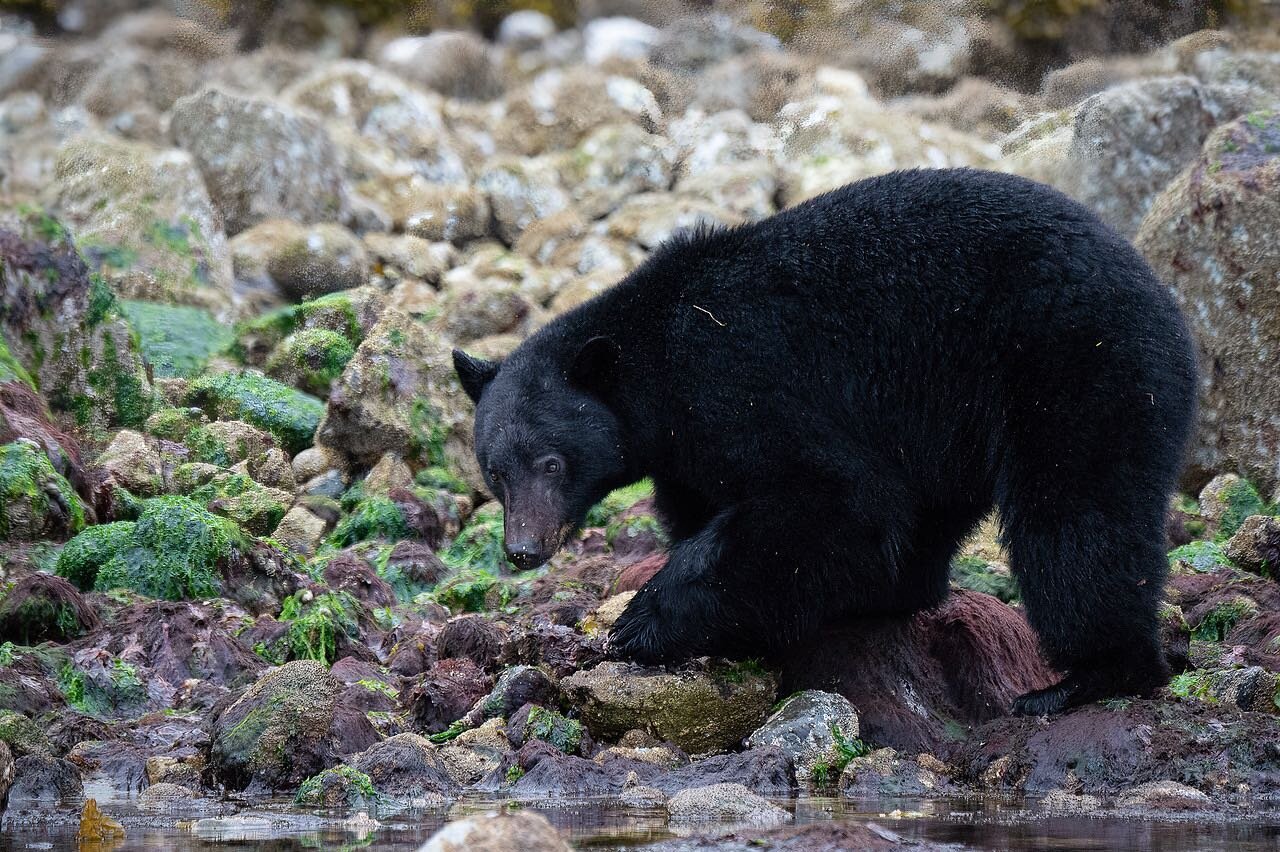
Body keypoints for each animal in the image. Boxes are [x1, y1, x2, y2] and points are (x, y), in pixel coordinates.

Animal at [455, 166, 1192, 711]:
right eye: (495, 471)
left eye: (552, 462)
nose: (522, 549)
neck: (656, 365)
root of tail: (1160, 291)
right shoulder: (687, 451)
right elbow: (718, 510)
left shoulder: (743, 381)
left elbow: (834, 498)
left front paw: (644, 620)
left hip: (1072, 364)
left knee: (1076, 520)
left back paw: (1089, 676)